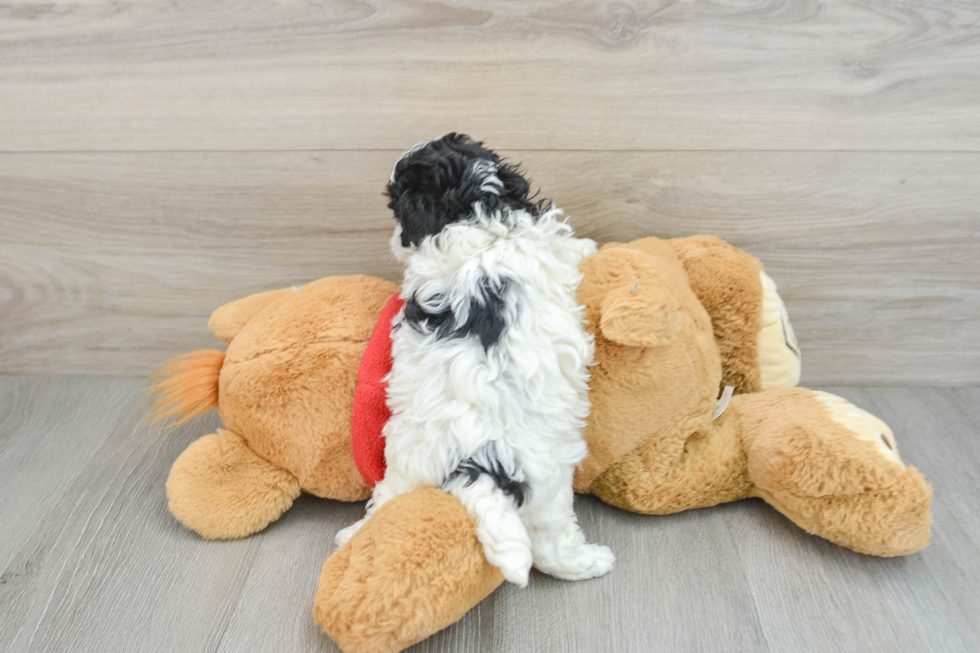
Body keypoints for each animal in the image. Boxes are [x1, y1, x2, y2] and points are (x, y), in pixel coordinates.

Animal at [336, 135, 612, 584]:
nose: (395, 240)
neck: (472, 218)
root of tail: (476, 460)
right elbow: (567, 246)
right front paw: (589, 246)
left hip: (432, 466)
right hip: (541, 475)